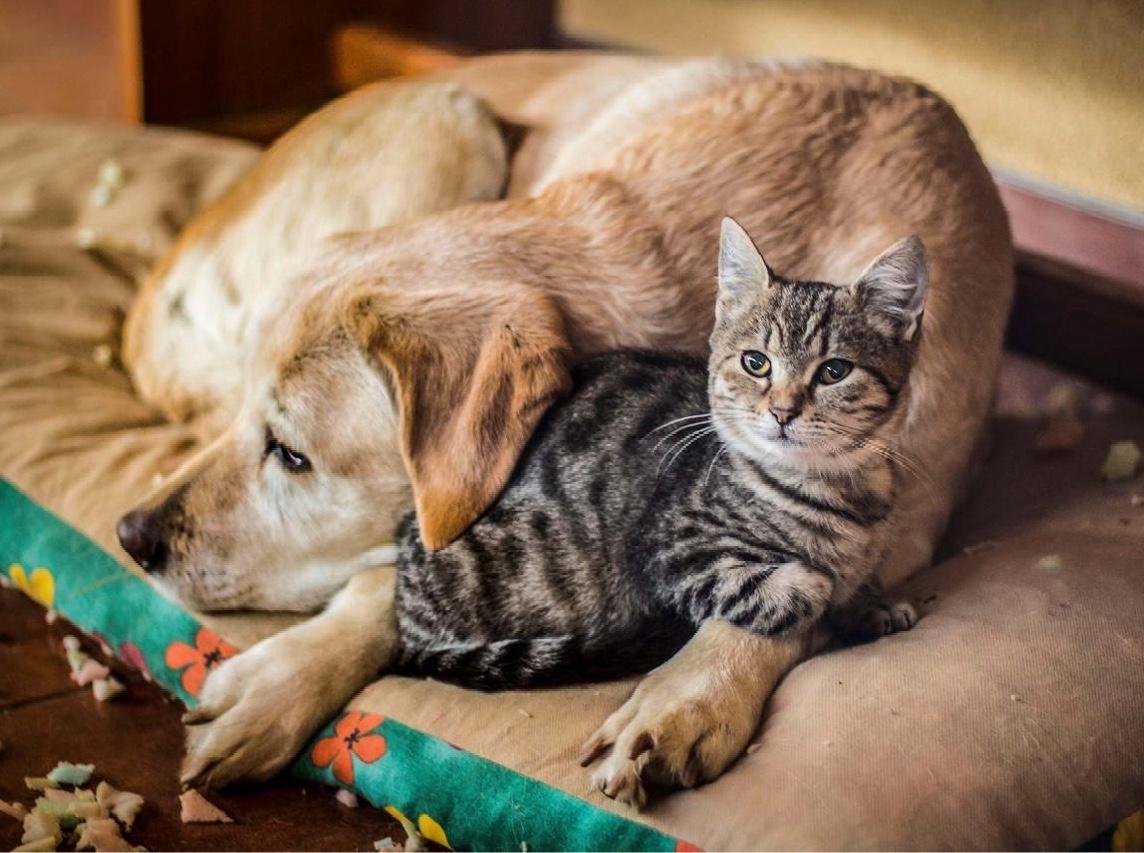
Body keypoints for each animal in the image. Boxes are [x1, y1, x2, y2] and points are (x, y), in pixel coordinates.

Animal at [393, 217, 926, 689]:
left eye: (834, 371)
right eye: (756, 363)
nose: (782, 411)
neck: (836, 490)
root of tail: (403, 624)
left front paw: (872, 602)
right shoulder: (668, 553)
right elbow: (797, 587)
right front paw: (827, 588)